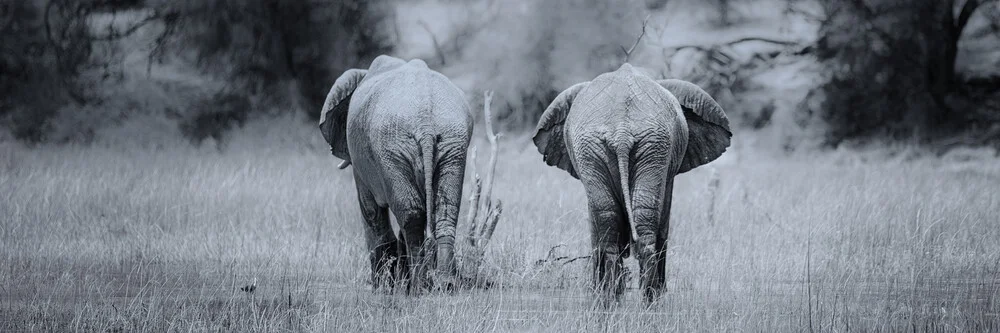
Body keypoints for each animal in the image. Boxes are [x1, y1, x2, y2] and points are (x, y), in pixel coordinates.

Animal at [322, 53, 474, 290]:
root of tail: (425, 121)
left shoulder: (361, 159)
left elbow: (370, 210)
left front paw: (382, 287)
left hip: (391, 148)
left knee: (411, 215)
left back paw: (419, 286)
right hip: (452, 143)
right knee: (445, 210)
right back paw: (444, 283)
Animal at [532, 63, 728, 304]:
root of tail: (621, 132)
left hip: (646, 146)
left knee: (616, 219)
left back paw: (628, 298)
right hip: (612, 147)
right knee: (619, 218)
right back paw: (630, 297)